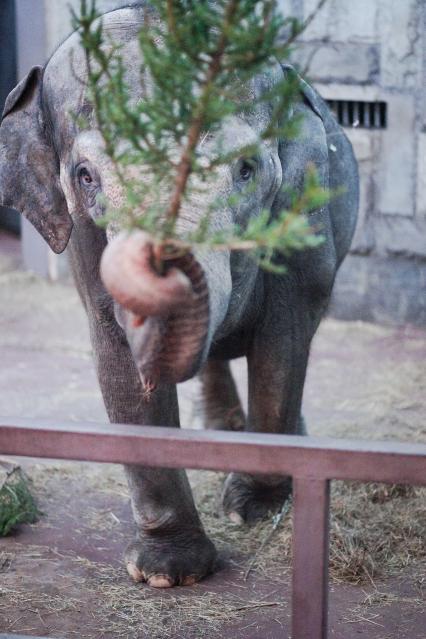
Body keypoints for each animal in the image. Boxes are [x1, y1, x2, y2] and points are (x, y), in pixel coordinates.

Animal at [0, 6, 358, 592]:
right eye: (85, 176)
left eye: (245, 169)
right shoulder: (83, 245)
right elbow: (117, 359)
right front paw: (167, 573)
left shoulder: (303, 210)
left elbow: (282, 342)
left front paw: (255, 509)